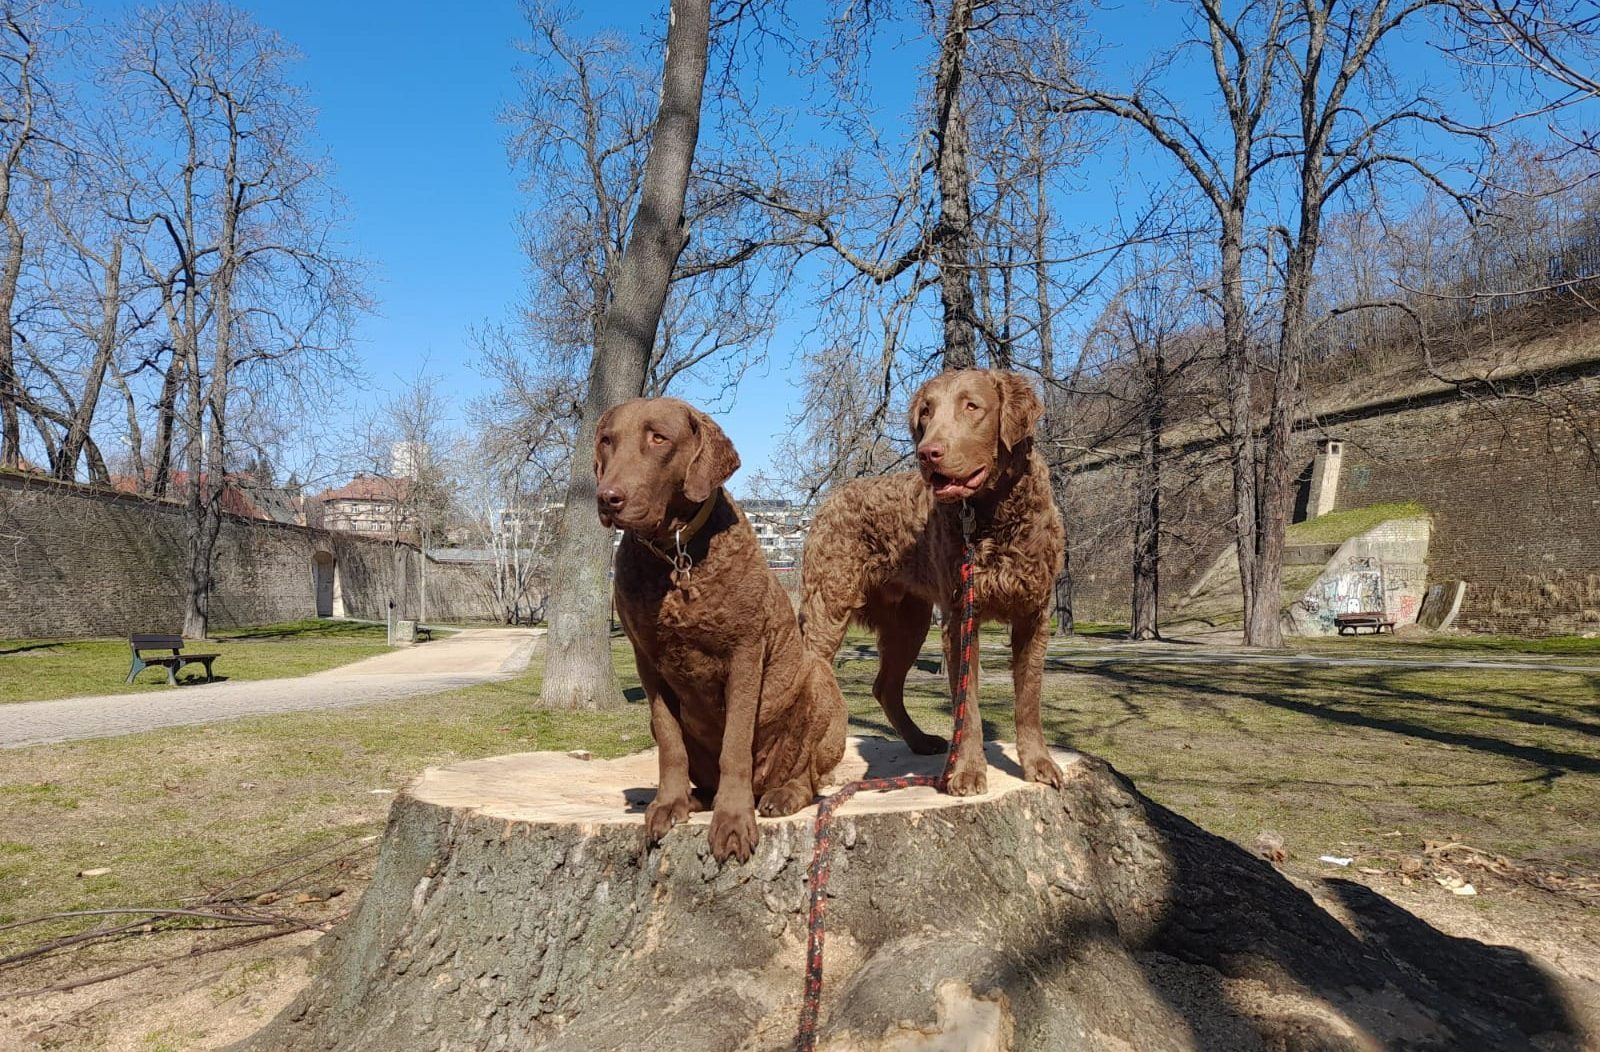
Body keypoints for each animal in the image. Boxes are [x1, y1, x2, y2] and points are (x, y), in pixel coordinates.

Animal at [598, 393, 851, 863]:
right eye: (607, 440)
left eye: (658, 438)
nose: (608, 498)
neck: (676, 556)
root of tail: (764, 783)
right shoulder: (648, 664)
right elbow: (669, 744)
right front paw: (668, 805)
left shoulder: (744, 653)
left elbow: (734, 745)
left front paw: (733, 820)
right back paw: (697, 798)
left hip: (818, 687)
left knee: (809, 777)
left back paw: (780, 796)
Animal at [796, 369, 1062, 796]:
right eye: (926, 412)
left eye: (972, 406)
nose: (927, 453)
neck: (992, 517)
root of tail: (831, 499)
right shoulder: (959, 618)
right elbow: (967, 708)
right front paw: (967, 772)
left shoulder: (1034, 615)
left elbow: (1029, 700)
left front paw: (1039, 765)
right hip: (829, 604)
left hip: (910, 621)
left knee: (885, 687)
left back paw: (920, 741)